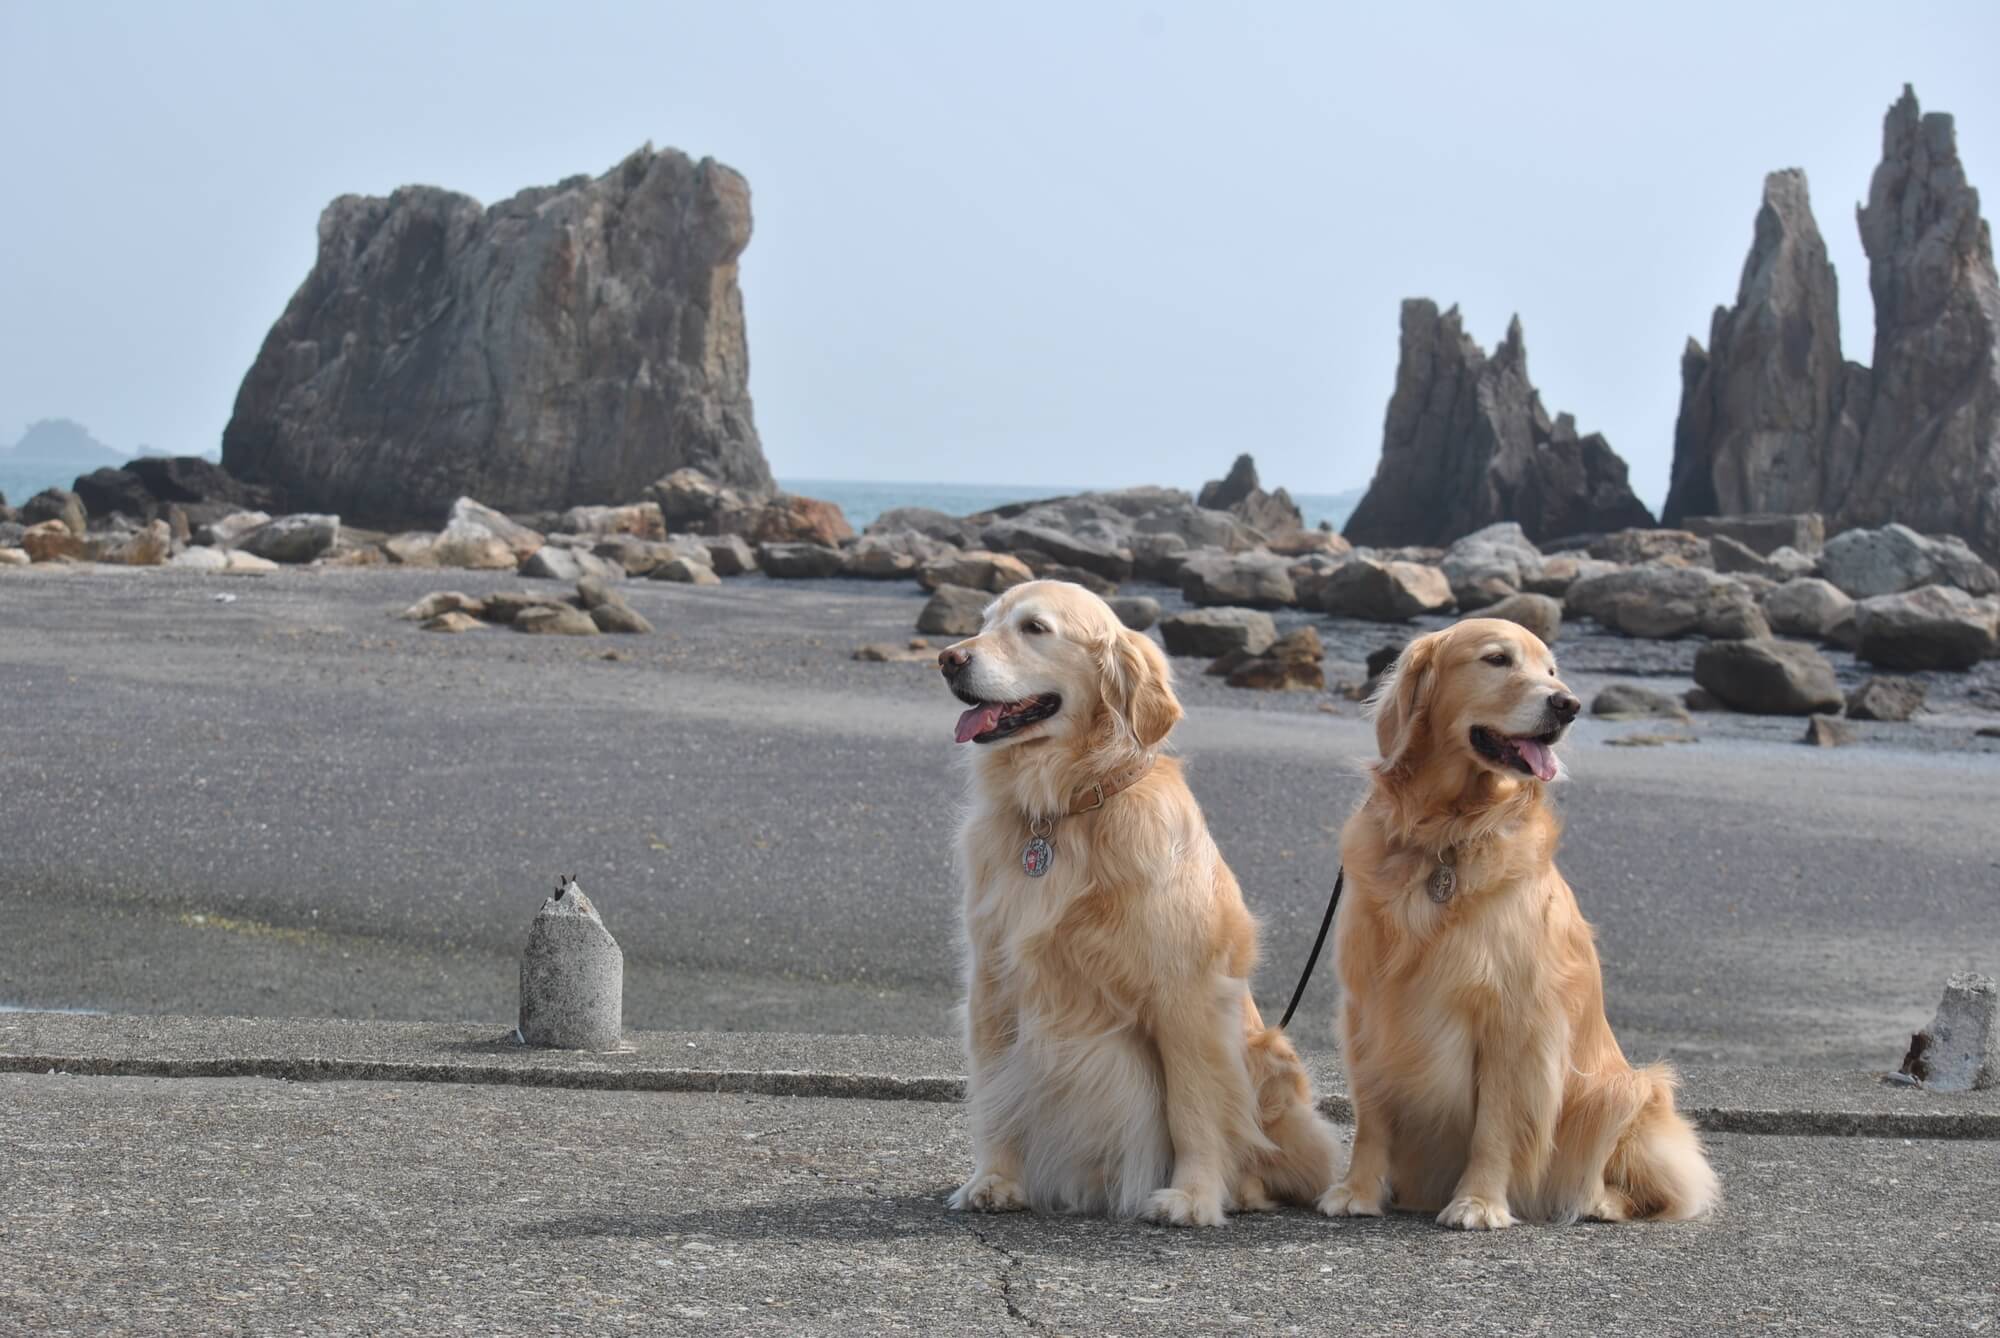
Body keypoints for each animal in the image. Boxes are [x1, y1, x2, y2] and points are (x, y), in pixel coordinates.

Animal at [936, 580, 1344, 1224]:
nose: (948, 659)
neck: (1069, 807)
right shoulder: (994, 981)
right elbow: (996, 1092)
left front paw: (1193, 1197)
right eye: (984, 621)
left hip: (1269, 1057)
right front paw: (995, 1179)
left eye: (1035, 628)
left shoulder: (1186, 997)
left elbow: (1193, 1107)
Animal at [1320, 620, 1728, 1224]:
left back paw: (1598, 1202)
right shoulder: (1368, 1008)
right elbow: (1371, 1112)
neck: (1447, 835)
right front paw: (1357, 1190)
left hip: (1627, 1092)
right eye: (1497, 660)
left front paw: (1479, 1202)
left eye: (1552, 670)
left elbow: (1496, 1124)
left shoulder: (1517, 1018)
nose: (1569, 705)